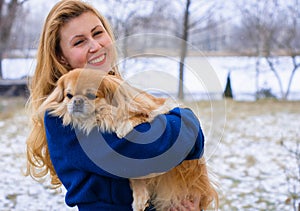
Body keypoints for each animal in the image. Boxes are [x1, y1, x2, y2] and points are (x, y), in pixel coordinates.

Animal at [39, 68, 218, 210]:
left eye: (91, 95)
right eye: (69, 96)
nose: (76, 101)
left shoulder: (156, 108)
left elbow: (139, 116)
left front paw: (123, 126)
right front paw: (140, 199)